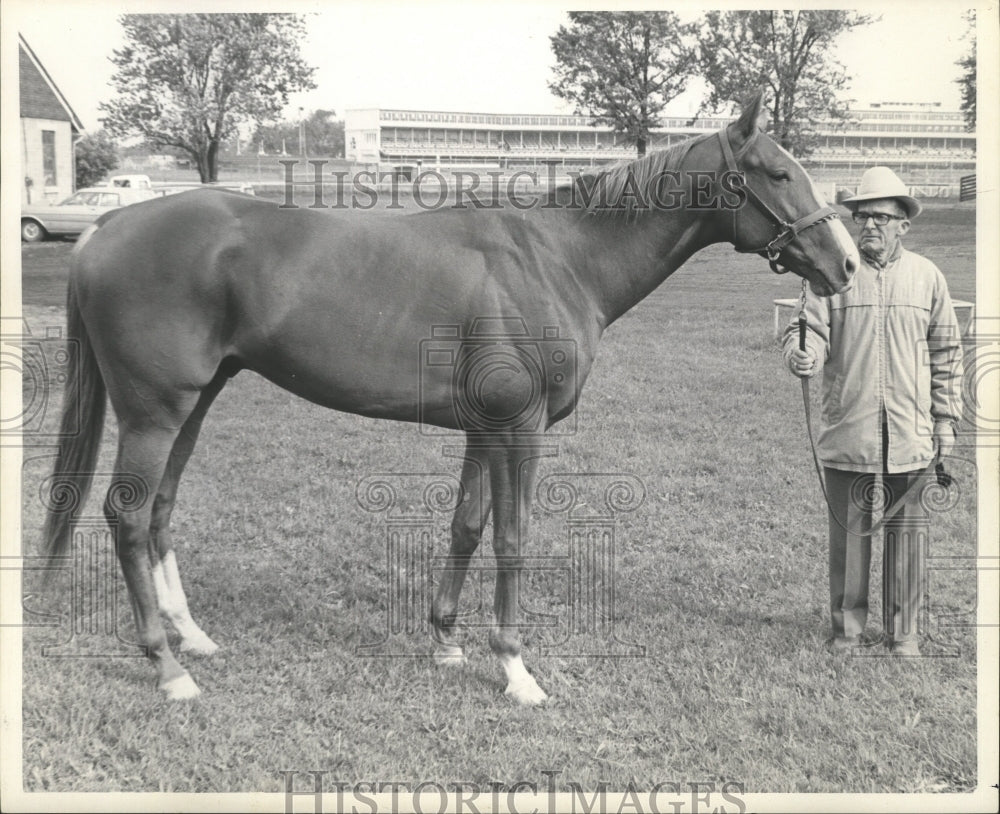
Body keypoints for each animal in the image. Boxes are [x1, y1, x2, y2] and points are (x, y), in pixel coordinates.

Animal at [42, 91, 858, 704]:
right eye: (777, 173)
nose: (846, 263)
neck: (558, 258)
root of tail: (105, 226)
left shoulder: (482, 426)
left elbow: (466, 527)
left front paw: (445, 642)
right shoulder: (521, 427)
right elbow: (512, 539)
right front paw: (517, 669)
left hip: (196, 401)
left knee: (161, 511)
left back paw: (195, 639)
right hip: (155, 411)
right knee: (127, 516)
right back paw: (167, 667)